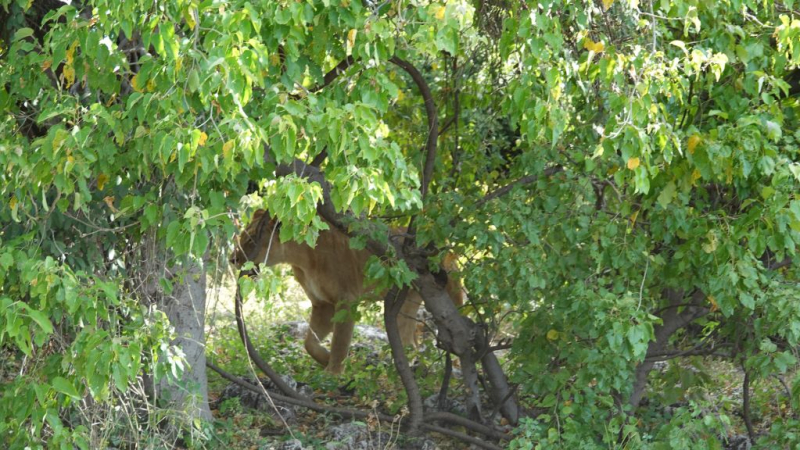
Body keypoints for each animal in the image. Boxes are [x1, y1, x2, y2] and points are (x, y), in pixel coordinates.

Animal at [228, 209, 466, 374]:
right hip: (404, 303)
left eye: (251, 240)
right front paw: (325, 359)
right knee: (410, 343)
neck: (301, 258)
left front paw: (333, 373)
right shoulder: (322, 304)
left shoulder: (346, 300)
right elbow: (309, 342)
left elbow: (340, 341)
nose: (232, 259)